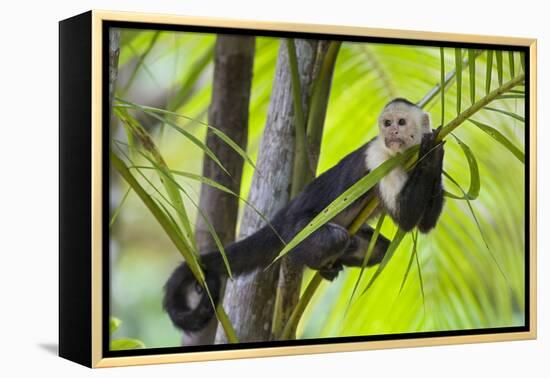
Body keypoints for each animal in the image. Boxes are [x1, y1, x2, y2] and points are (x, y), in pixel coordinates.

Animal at [163, 98, 444, 334]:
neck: (403, 155)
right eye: (387, 123)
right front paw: (432, 153)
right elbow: (405, 217)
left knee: (378, 249)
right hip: (296, 230)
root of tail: (285, 213)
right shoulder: (379, 157)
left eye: (401, 122)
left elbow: (424, 224)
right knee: (333, 239)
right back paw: (319, 260)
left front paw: (434, 154)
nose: (391, 132)